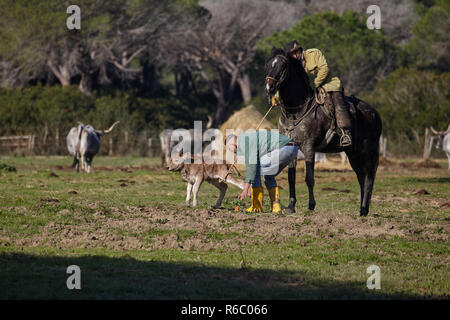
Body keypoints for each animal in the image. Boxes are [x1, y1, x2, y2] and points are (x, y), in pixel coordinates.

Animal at [266, 47, 382, 216]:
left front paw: (311, 205)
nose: (269, 88)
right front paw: (291, 206)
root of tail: (374, 113)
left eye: (282, 66)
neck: (298, 110)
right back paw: (362, 210)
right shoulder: (291, 146)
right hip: (353, 152)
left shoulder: (309, 148)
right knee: (362, 176)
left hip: (368, 150)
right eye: (268, 64)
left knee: (370, 176)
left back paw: (365, 209)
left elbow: (309, 178)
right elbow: (291, 177)